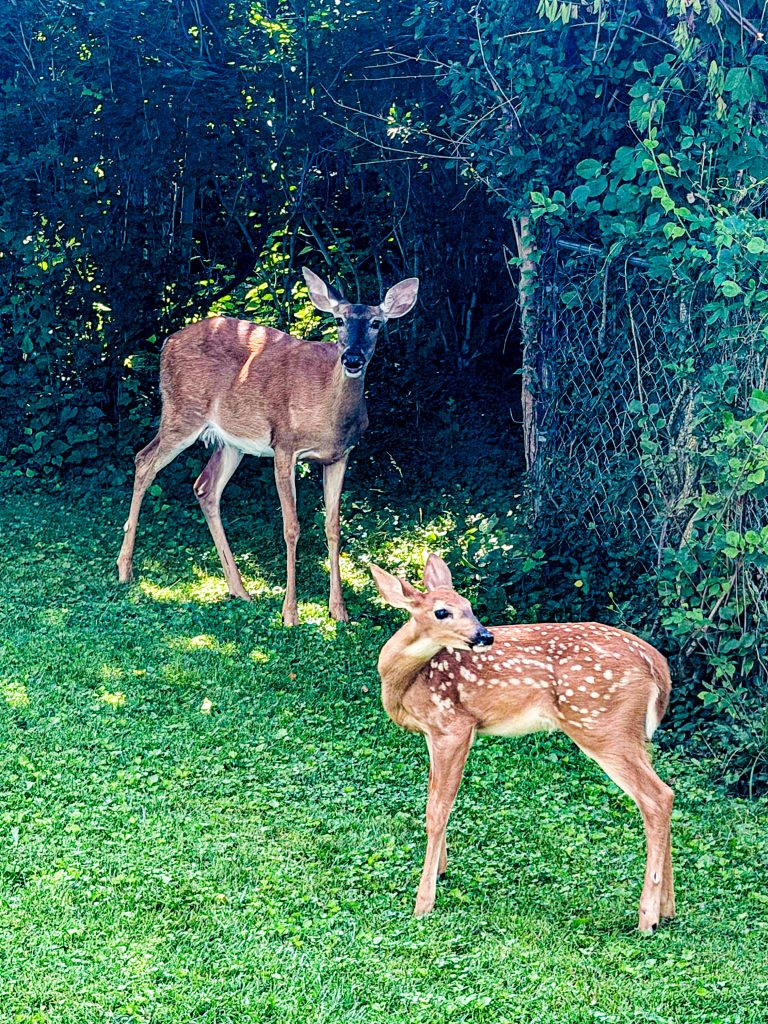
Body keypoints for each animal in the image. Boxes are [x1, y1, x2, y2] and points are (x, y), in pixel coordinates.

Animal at [116, 267, 419, 625]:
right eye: (340, 320)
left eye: (376, 323)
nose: (353, 358)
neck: (328, 413)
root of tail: (167, 342)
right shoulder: (285, 446)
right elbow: (292, 527)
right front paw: (290, 613)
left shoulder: (340, 456)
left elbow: (333, 527)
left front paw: (339, 610)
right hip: (183, 412)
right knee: (143, 460)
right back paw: (125, 570)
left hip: (231, 441)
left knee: (205, 487)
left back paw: (240, 589)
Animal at [370, 554, 675, 933]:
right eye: (443, 611)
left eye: (469, 606)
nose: (484, 635)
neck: (405, 680)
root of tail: (659, 667)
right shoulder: (432, 733)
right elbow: (435, 800)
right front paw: (441, 870)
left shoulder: (454, 725)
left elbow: (436, 810)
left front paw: (423, 901)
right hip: (632, 733)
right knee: (666, 794)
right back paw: (668, 908)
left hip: (601, 725)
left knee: (656, 797)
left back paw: (647, 917)